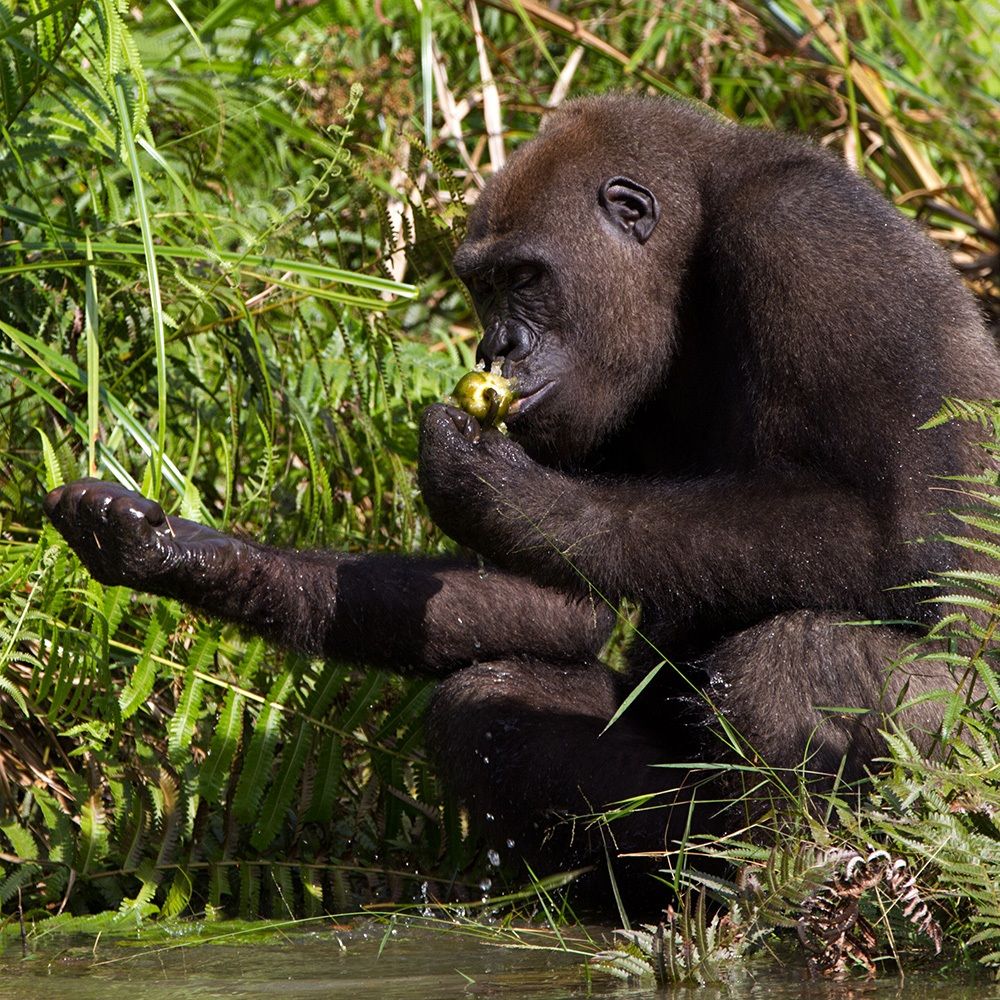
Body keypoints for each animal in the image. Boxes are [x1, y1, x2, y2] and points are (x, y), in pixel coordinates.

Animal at [45, 94, 1000, 911]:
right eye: (482, 285)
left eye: (525, 278)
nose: (493, 344)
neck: (695, 240)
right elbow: (563, 603)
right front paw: (188, 551)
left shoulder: (810, 240)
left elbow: (907, 536)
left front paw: (508, 493)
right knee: (491, 700)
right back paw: (671, 880)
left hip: (968, 778)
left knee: (793, 661)